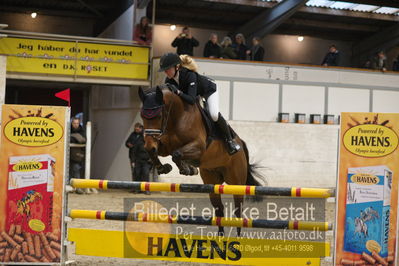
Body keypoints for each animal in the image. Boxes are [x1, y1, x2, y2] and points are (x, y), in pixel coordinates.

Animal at [139, 85, 264, 235]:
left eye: (158, 116)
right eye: (142, 116)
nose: (148, 143)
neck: (177, 117)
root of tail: (241, 143)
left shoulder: (199, 147)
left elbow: (176, 154)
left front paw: (187, 169)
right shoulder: (164, 145)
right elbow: (157, 152)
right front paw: (166, 168)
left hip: (236, 182)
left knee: (238, 211)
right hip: (212, 181)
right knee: (219, 210)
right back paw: (220, 237)